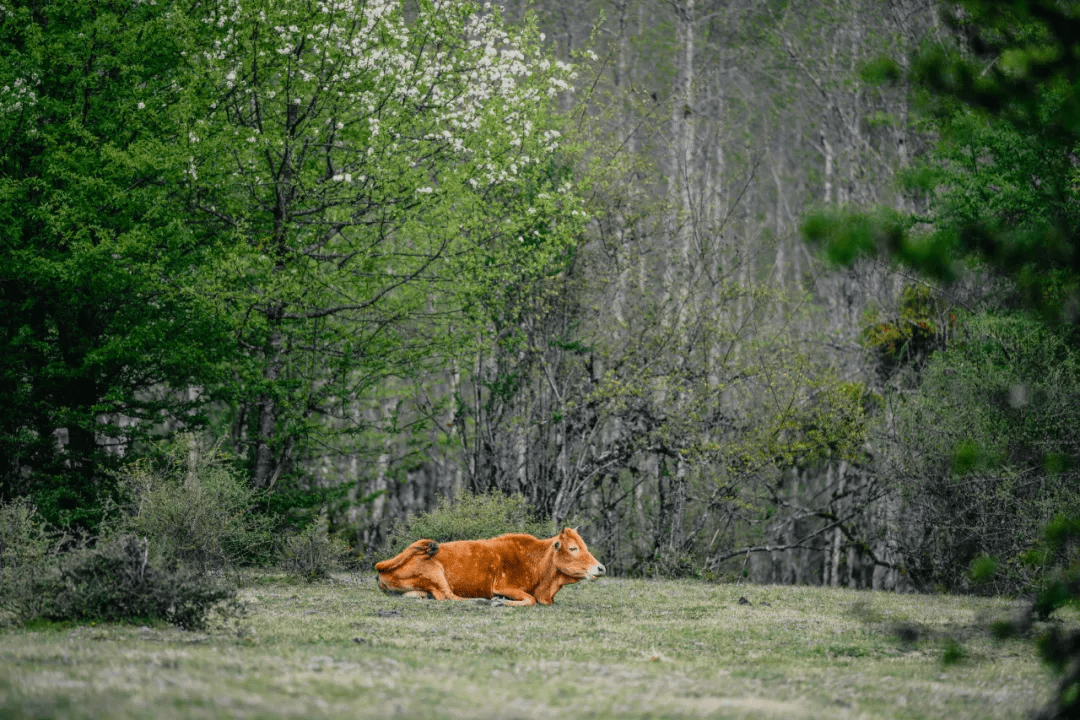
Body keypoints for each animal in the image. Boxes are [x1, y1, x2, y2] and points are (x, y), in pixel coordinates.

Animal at [375, 526, 604, 604]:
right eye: (573, 548)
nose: (601, 568)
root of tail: (382, 567)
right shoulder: (502, 586)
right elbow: (529, 600)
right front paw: (499, 601)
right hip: (435, 572)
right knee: (448, 597)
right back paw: (480, 600)